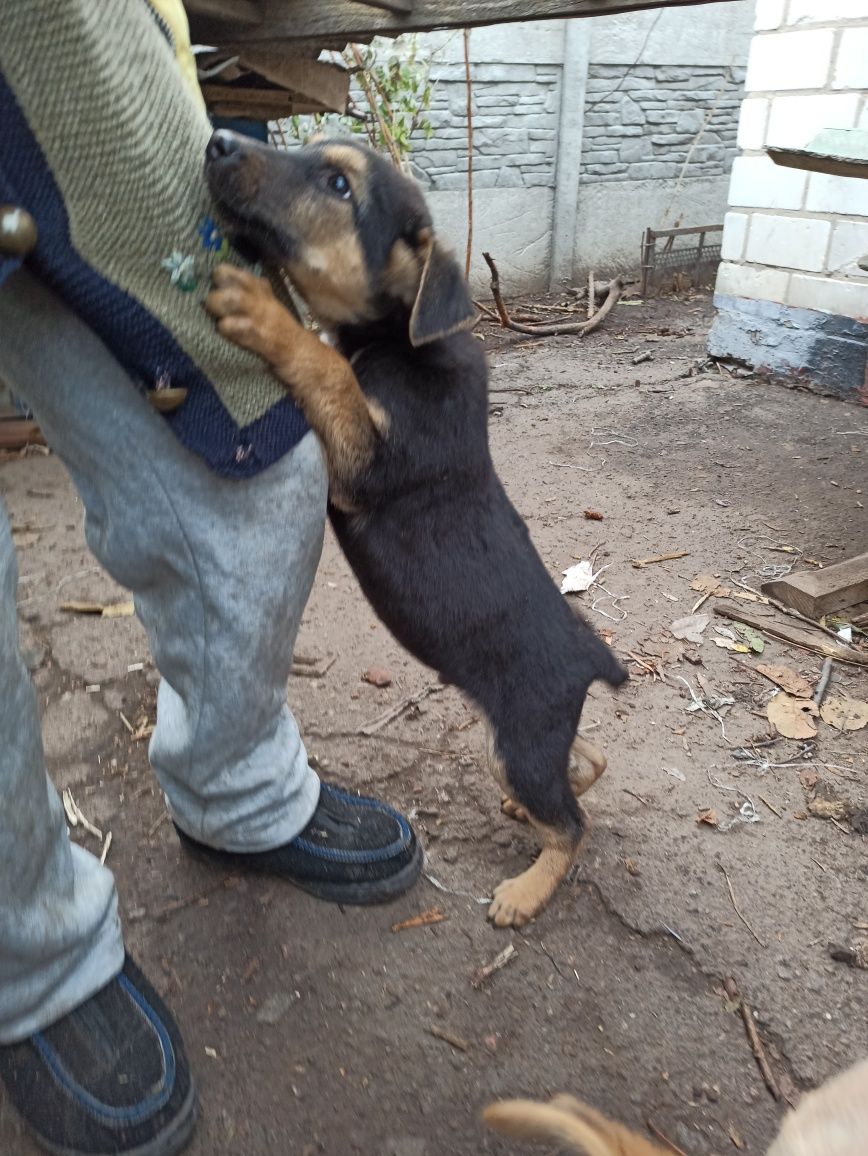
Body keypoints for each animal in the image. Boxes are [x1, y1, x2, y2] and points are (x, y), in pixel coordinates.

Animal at [203, 131, 624, 924]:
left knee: (575, 827)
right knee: (588, 762)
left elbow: (326, 365)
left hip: (520, 739)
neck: (402, 339)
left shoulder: (365, 466)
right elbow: (333, 360)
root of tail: (594, 656)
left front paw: (264, 312)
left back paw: (526, 891)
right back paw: (531, 813)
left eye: (339, 185)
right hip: (527, 736)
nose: (221, 140)